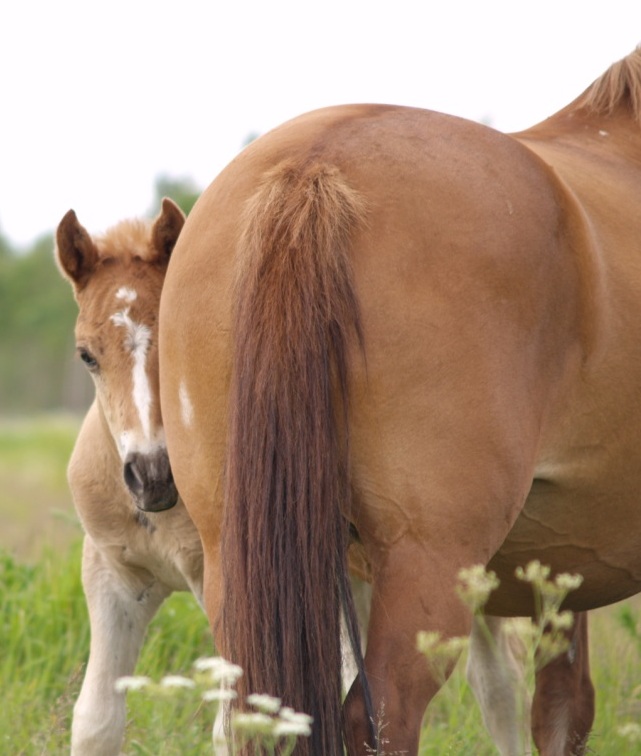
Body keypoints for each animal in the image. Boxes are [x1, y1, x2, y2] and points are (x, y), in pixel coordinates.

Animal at [159, 48, 640, 756]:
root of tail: (312, 168)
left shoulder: (564, 569)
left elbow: (559, 709)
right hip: (429, 562)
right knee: (380, 715)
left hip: (235, 558)